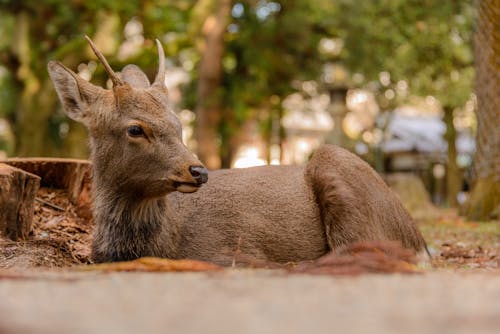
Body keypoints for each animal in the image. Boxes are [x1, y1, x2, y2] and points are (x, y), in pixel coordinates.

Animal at [47, 37, 430, 266]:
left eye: (177, 122)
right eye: (135, 128)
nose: (198, 170)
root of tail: (420, 240)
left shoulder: (235, 253)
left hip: (337, 167)